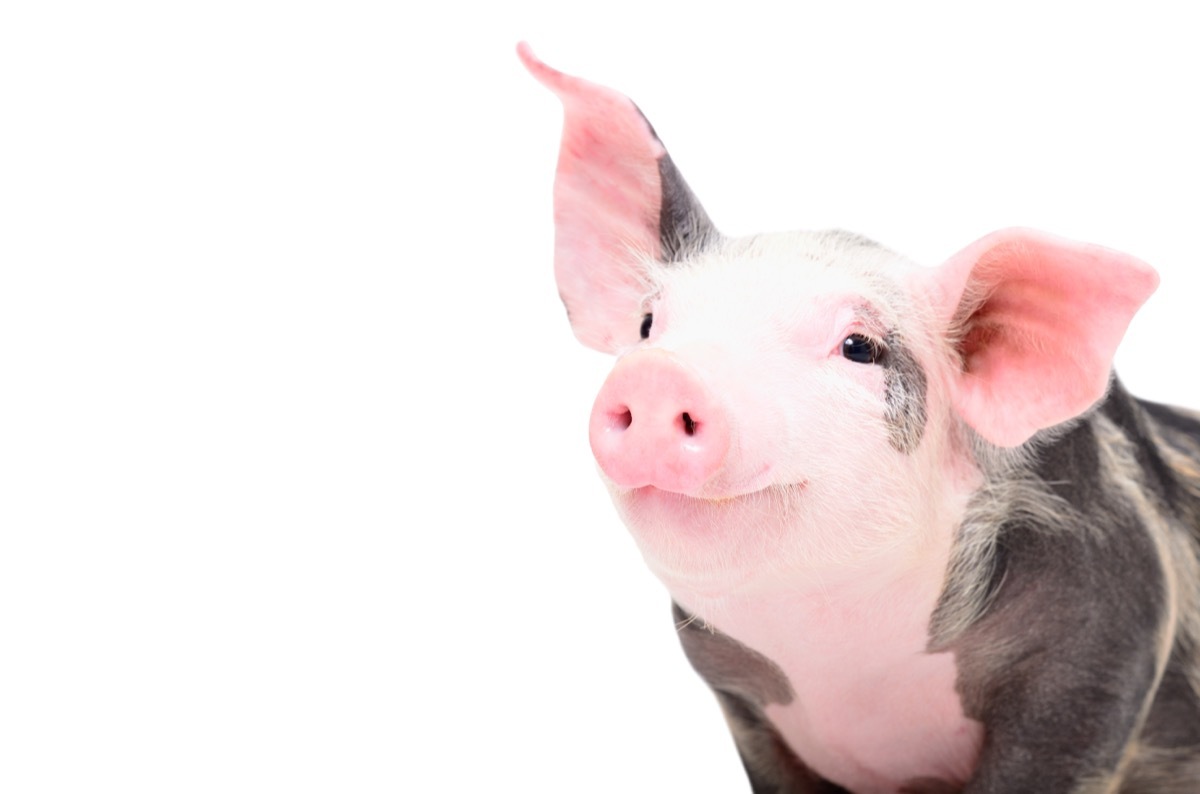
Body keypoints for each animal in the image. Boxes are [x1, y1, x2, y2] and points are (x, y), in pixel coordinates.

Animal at [518, 43, 1200, 794]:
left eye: (859, 348)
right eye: (647, 325)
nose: (662, 373)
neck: (850, 678)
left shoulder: (1101, 650)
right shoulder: (743, 704)